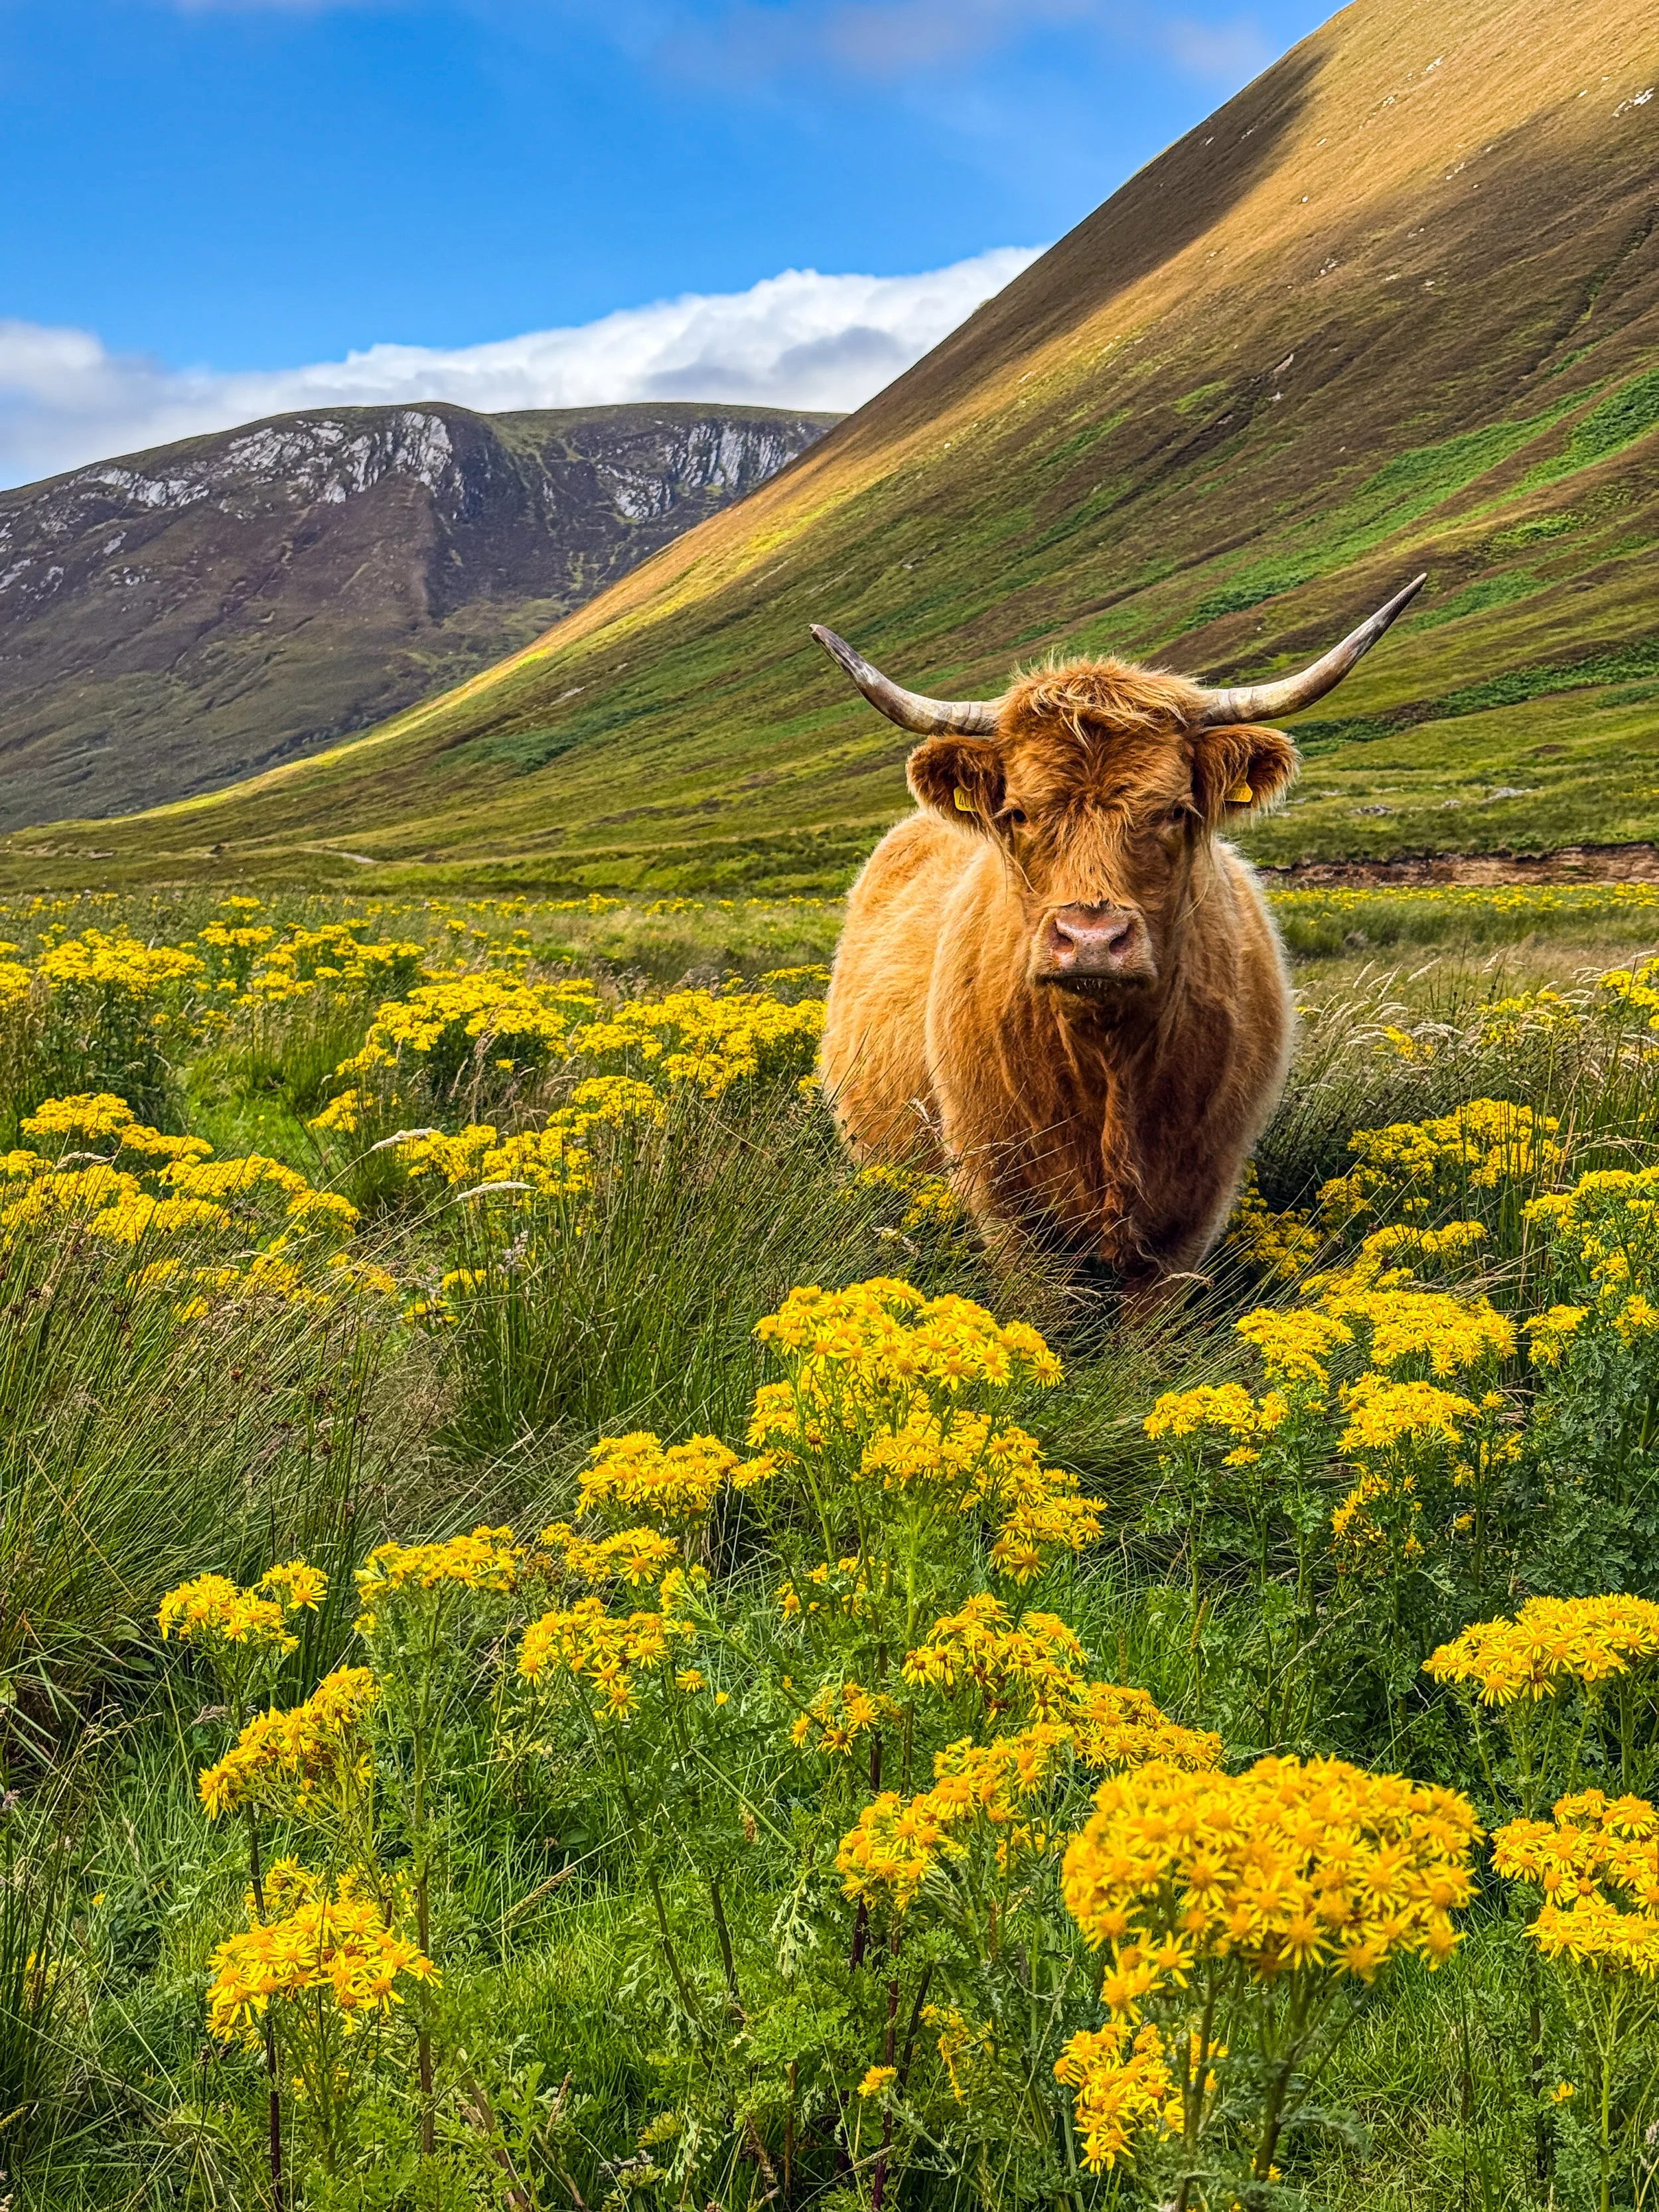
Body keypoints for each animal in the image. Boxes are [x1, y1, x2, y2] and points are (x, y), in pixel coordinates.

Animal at [813, 577, 1425, 1303]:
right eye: (1018, 812)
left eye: (1173, 811)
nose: (1091, 939)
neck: (1106, 1059)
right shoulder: (1007, 1208)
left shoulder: (1191, 1211)